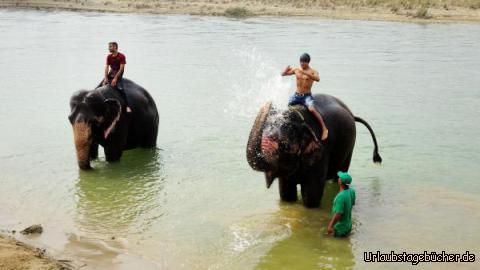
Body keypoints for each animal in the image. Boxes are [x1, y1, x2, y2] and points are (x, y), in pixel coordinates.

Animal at [246, 94, 380, 208]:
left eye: (285, 146)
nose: (271, 104)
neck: (300, 118)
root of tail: (352, 114)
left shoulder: (322, 151)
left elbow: (311, 197)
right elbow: (286, 195)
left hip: (350, 146)